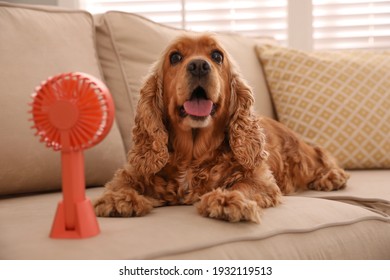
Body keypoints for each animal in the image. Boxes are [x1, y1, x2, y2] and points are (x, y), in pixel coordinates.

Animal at [93, 33, 348, 223]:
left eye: (217, 55)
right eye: (175, 57)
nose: (198, 65)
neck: (192, 155)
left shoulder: (261, 179)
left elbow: (245, 185)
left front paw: (228, 200)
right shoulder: (134, 171)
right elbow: (121, 183)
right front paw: (118, 199)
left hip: (301, 156)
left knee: (319, 158)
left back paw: (331, 177)